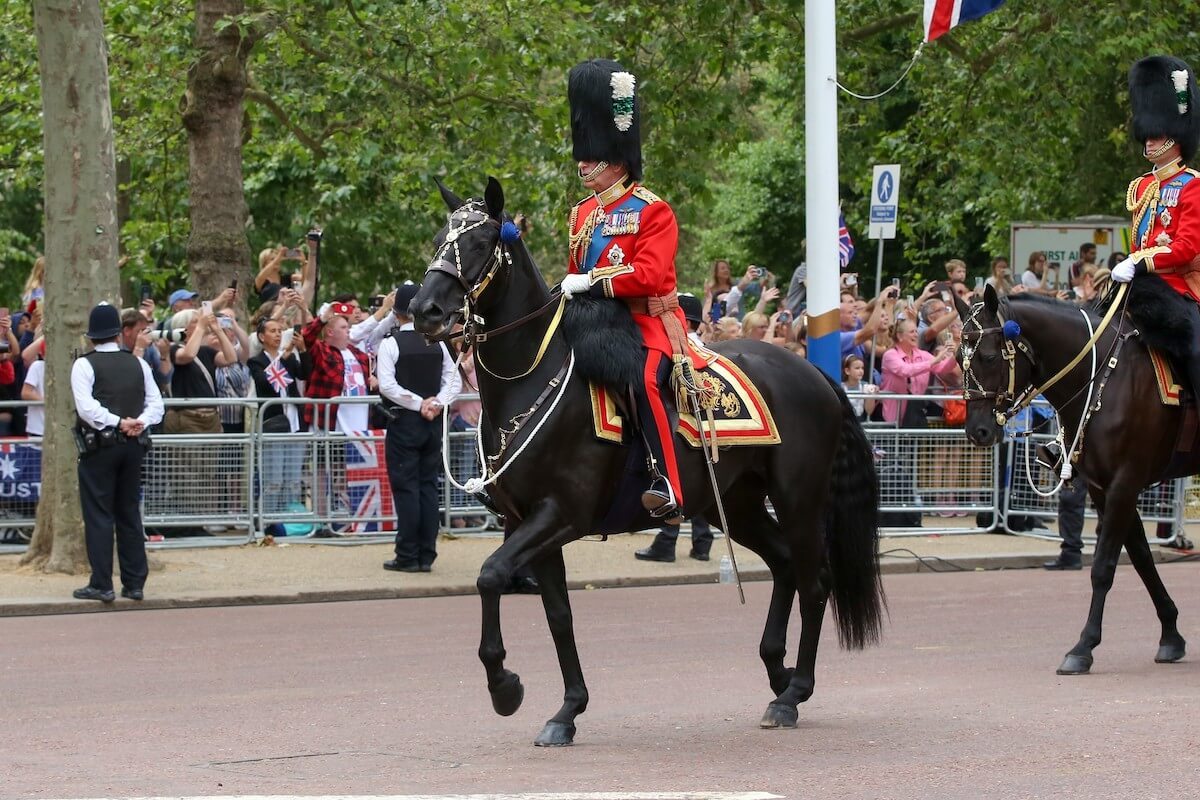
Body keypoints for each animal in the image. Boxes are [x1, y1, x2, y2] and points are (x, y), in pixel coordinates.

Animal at [408, 178, 888, 748]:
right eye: (440, 237)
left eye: (481, 243)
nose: (424, 310)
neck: (531, 377)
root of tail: (814, 373)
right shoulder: (525, 521)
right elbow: (557, 614)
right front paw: (567, 709)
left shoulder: (561, 515)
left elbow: (490, 575)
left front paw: (505, 686)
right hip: (736, 502)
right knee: (785, 564)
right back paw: (778, 671)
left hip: (799, 499)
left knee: (816, 582)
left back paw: (793, 694)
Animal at [955, 283, 1190, 676]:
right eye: (959, 358)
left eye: (988, 356)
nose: (978, 431)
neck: (1105, 377)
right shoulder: (1104, 487)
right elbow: (1141, 558)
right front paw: (1171, 634)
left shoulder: (1125, 483)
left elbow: (1103, 567)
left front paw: (1083, 647)